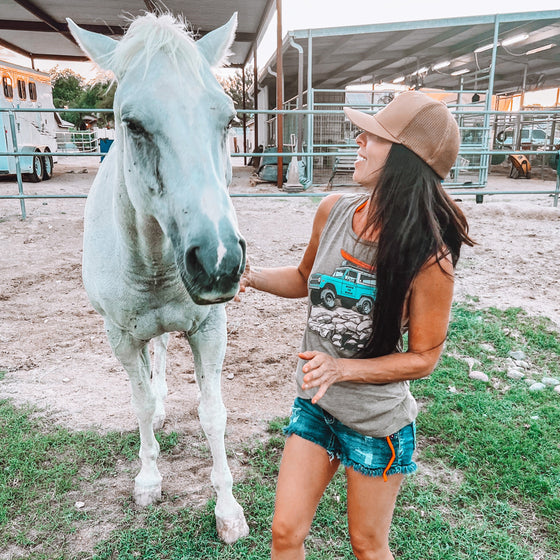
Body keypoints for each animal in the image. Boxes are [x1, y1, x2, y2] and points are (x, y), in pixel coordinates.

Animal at [66, 12, 248, 544]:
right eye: (132, 124)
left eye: (228, 119)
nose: (218, 260)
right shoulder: (121, 337)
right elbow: (142, 404)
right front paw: (148, 480)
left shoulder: (209, 329)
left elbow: (212, 414)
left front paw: (228, 511)